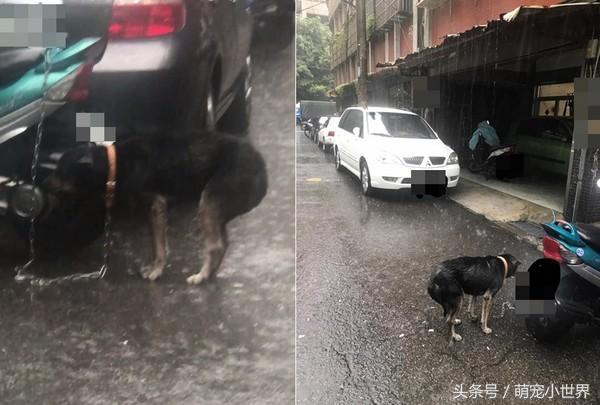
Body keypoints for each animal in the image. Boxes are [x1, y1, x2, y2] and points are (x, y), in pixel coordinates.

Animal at [42, 131, 268, 282]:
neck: (114, 165)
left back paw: (201, 275)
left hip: (208, 202)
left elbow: (159, 246)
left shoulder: (155, 205)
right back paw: (211, 273)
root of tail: (260, 166)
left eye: (60, 172)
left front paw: (156, 271)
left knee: (215, 245)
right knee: (224, 242)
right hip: (217, 209)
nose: (41, 183)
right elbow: (155, 243)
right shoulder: (151, 212)